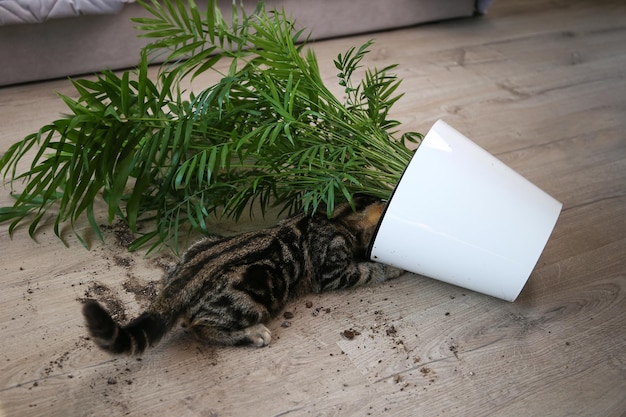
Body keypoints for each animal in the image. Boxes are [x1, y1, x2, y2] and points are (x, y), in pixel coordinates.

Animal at [83, 197, 402, 352]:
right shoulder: (332, 270)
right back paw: (252, 334)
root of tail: (182, 281)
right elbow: (366, 271)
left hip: (199, 246)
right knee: (199, 327)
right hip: (260, 288)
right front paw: (390, 267)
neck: (334, 215)